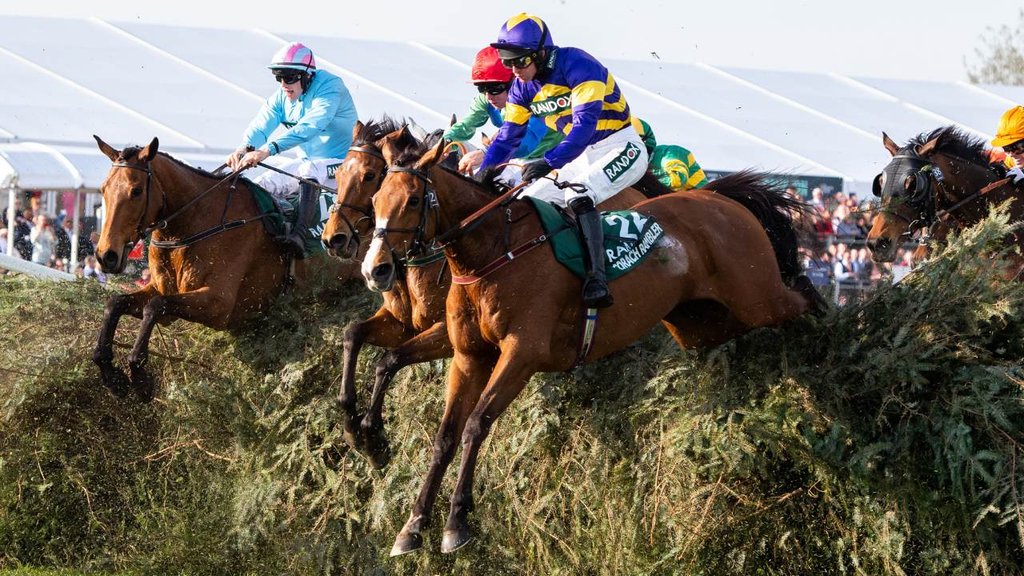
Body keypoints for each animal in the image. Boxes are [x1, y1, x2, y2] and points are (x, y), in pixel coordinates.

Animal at [91, 135, 356, 401]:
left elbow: (154, 306)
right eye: (103, 189)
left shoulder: (218, 304)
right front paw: (111, 374)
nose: (106, 255)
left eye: (136, 191)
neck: (195, 221)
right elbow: (115, 303)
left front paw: (140, 376)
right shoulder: (162, 290)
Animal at [321, 119, 679, 468]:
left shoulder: (447, 335)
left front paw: (371, 434)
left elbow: (390, 359)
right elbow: (357, 337)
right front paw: (355, 426)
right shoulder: (401, 322)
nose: (333, 239)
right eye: (338, 174)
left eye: (370, 176)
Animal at [362, 137, 824, 555]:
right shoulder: (469, 357)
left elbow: (476, 424)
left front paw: (456, 523)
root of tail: (721, 198)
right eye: (377, 199)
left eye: (414, 200)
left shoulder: (522, 353)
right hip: (702, 324)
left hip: (760, 298)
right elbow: (445, 436)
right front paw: (412, 526)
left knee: (806, 294)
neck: (494, 252)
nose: (375, 269)